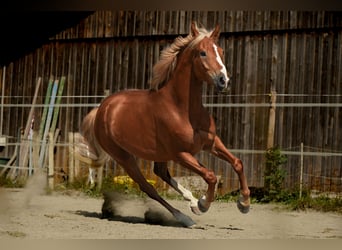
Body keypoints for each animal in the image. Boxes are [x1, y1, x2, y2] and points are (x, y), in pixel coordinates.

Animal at [80, 22, 251, 228]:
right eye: (202, 53)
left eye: (221, 51)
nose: (223, 80)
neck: (182, 110)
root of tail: (102, 108)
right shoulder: (180, 154)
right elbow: (210, 175)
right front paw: (203, 204)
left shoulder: (211, 143)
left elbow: (237, 163)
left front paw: (244, 204)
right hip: (124, 157)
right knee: (148, 187)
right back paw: (186, 217)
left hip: (159, 154)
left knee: (161, 173)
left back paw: (191, 201)